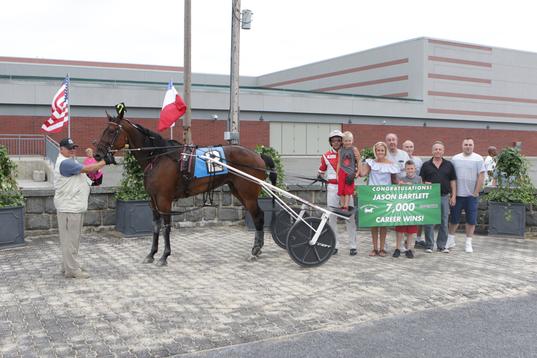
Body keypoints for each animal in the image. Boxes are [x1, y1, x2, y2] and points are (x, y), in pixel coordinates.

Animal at [93, 114, 276, 266]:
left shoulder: (164, 200)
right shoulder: (153, 200)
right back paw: (257, 249)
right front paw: (151, 254)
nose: (97, 154)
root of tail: (258, 155)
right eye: (104, 130)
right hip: (238, 191)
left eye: (111, 131)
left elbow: (166, 227)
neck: (158, 158)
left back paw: (255, 250)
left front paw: (164, 256)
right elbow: (155, 227)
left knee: (258, 216)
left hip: (248, 193)